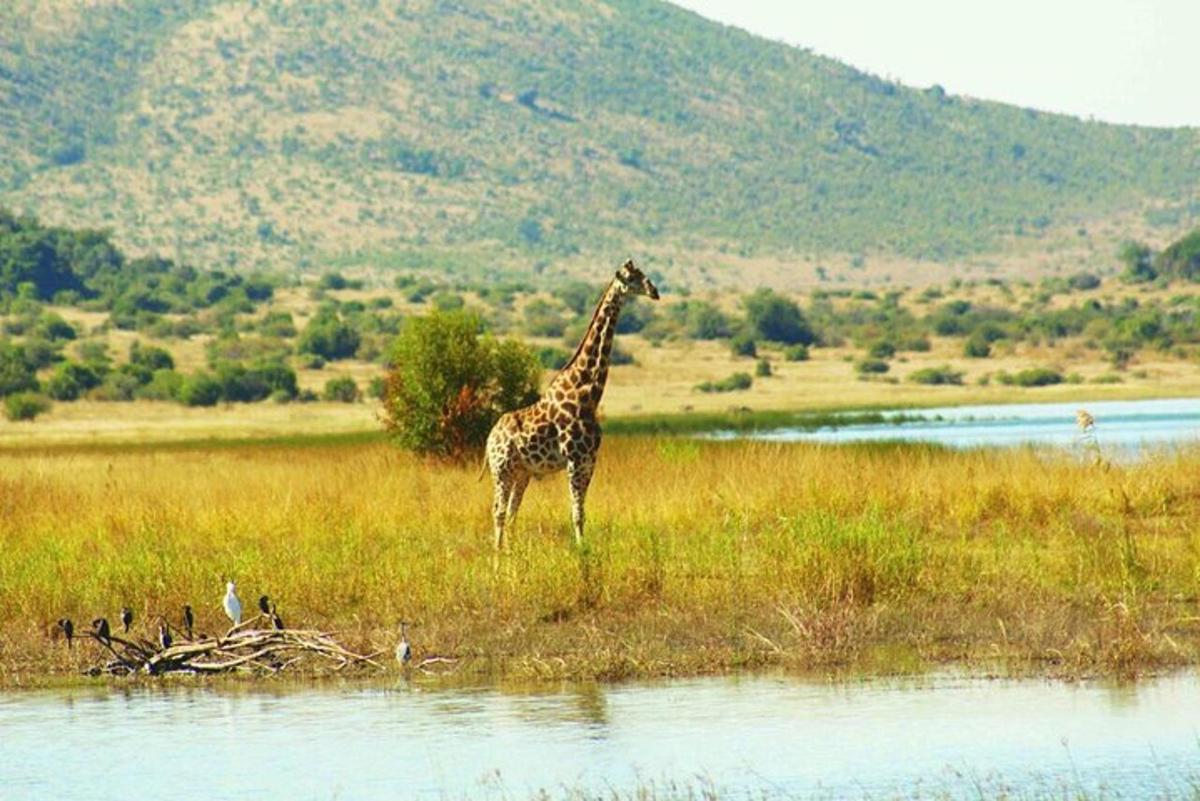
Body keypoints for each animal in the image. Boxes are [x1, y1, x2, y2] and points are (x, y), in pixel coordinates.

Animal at [482, 260, 662, 546]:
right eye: (633, 278)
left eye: (644, 275)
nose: (655, 291)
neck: (587, 393)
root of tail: (489, 439)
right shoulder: (575, 460)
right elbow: (576, 513)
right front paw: (581, 552)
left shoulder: (589, 460)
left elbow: (582, 513)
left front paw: (584, 548)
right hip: (501, 470)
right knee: (498, 511)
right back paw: (498, 555)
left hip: (521, 472)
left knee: (510, 512)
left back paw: (510, 552)